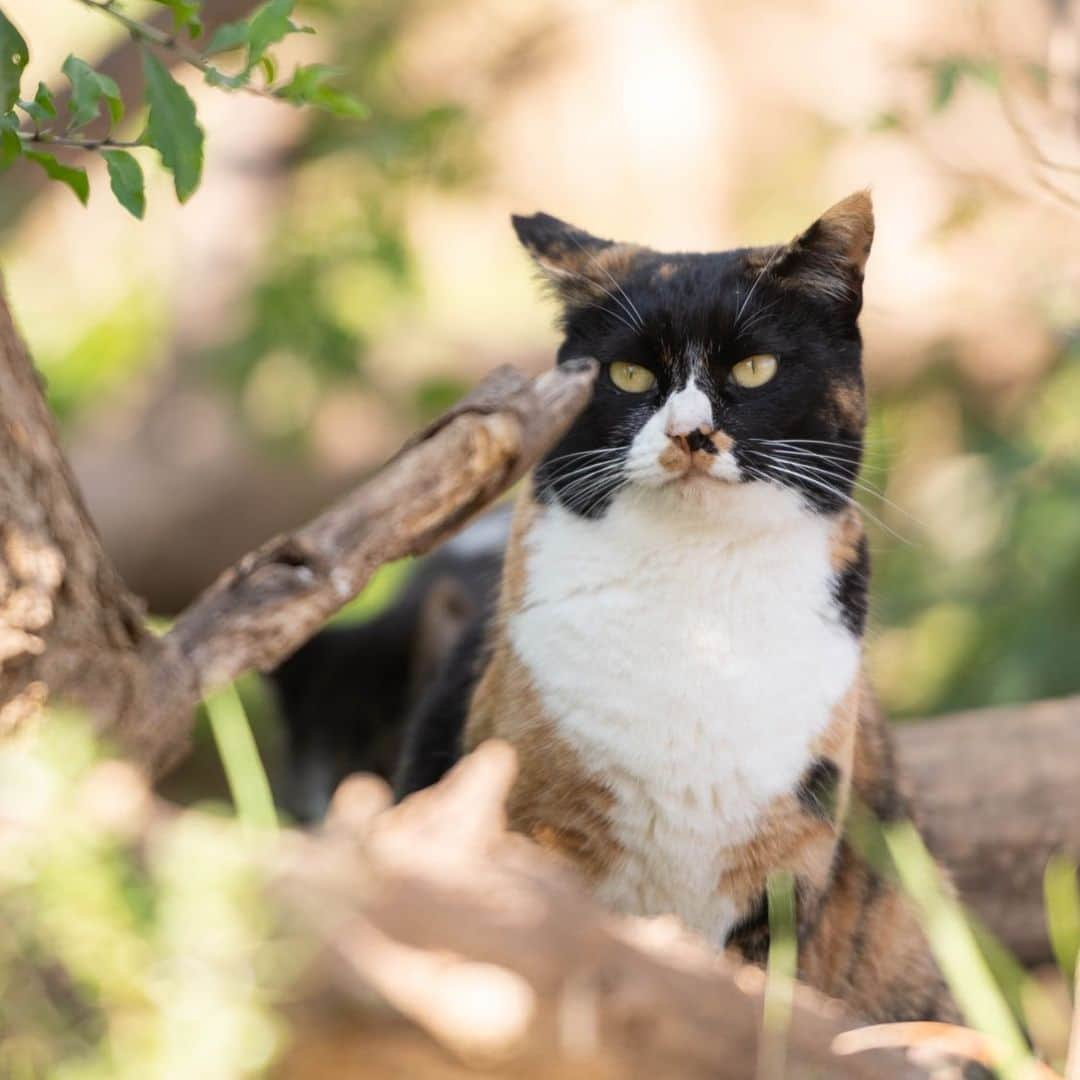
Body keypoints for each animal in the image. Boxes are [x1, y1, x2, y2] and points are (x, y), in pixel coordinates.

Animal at [395, 194, 954, 1019]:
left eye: (753, 367)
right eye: (629, 374)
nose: (691, 433)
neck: (699, 623)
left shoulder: (789, 863)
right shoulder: (531, 821)